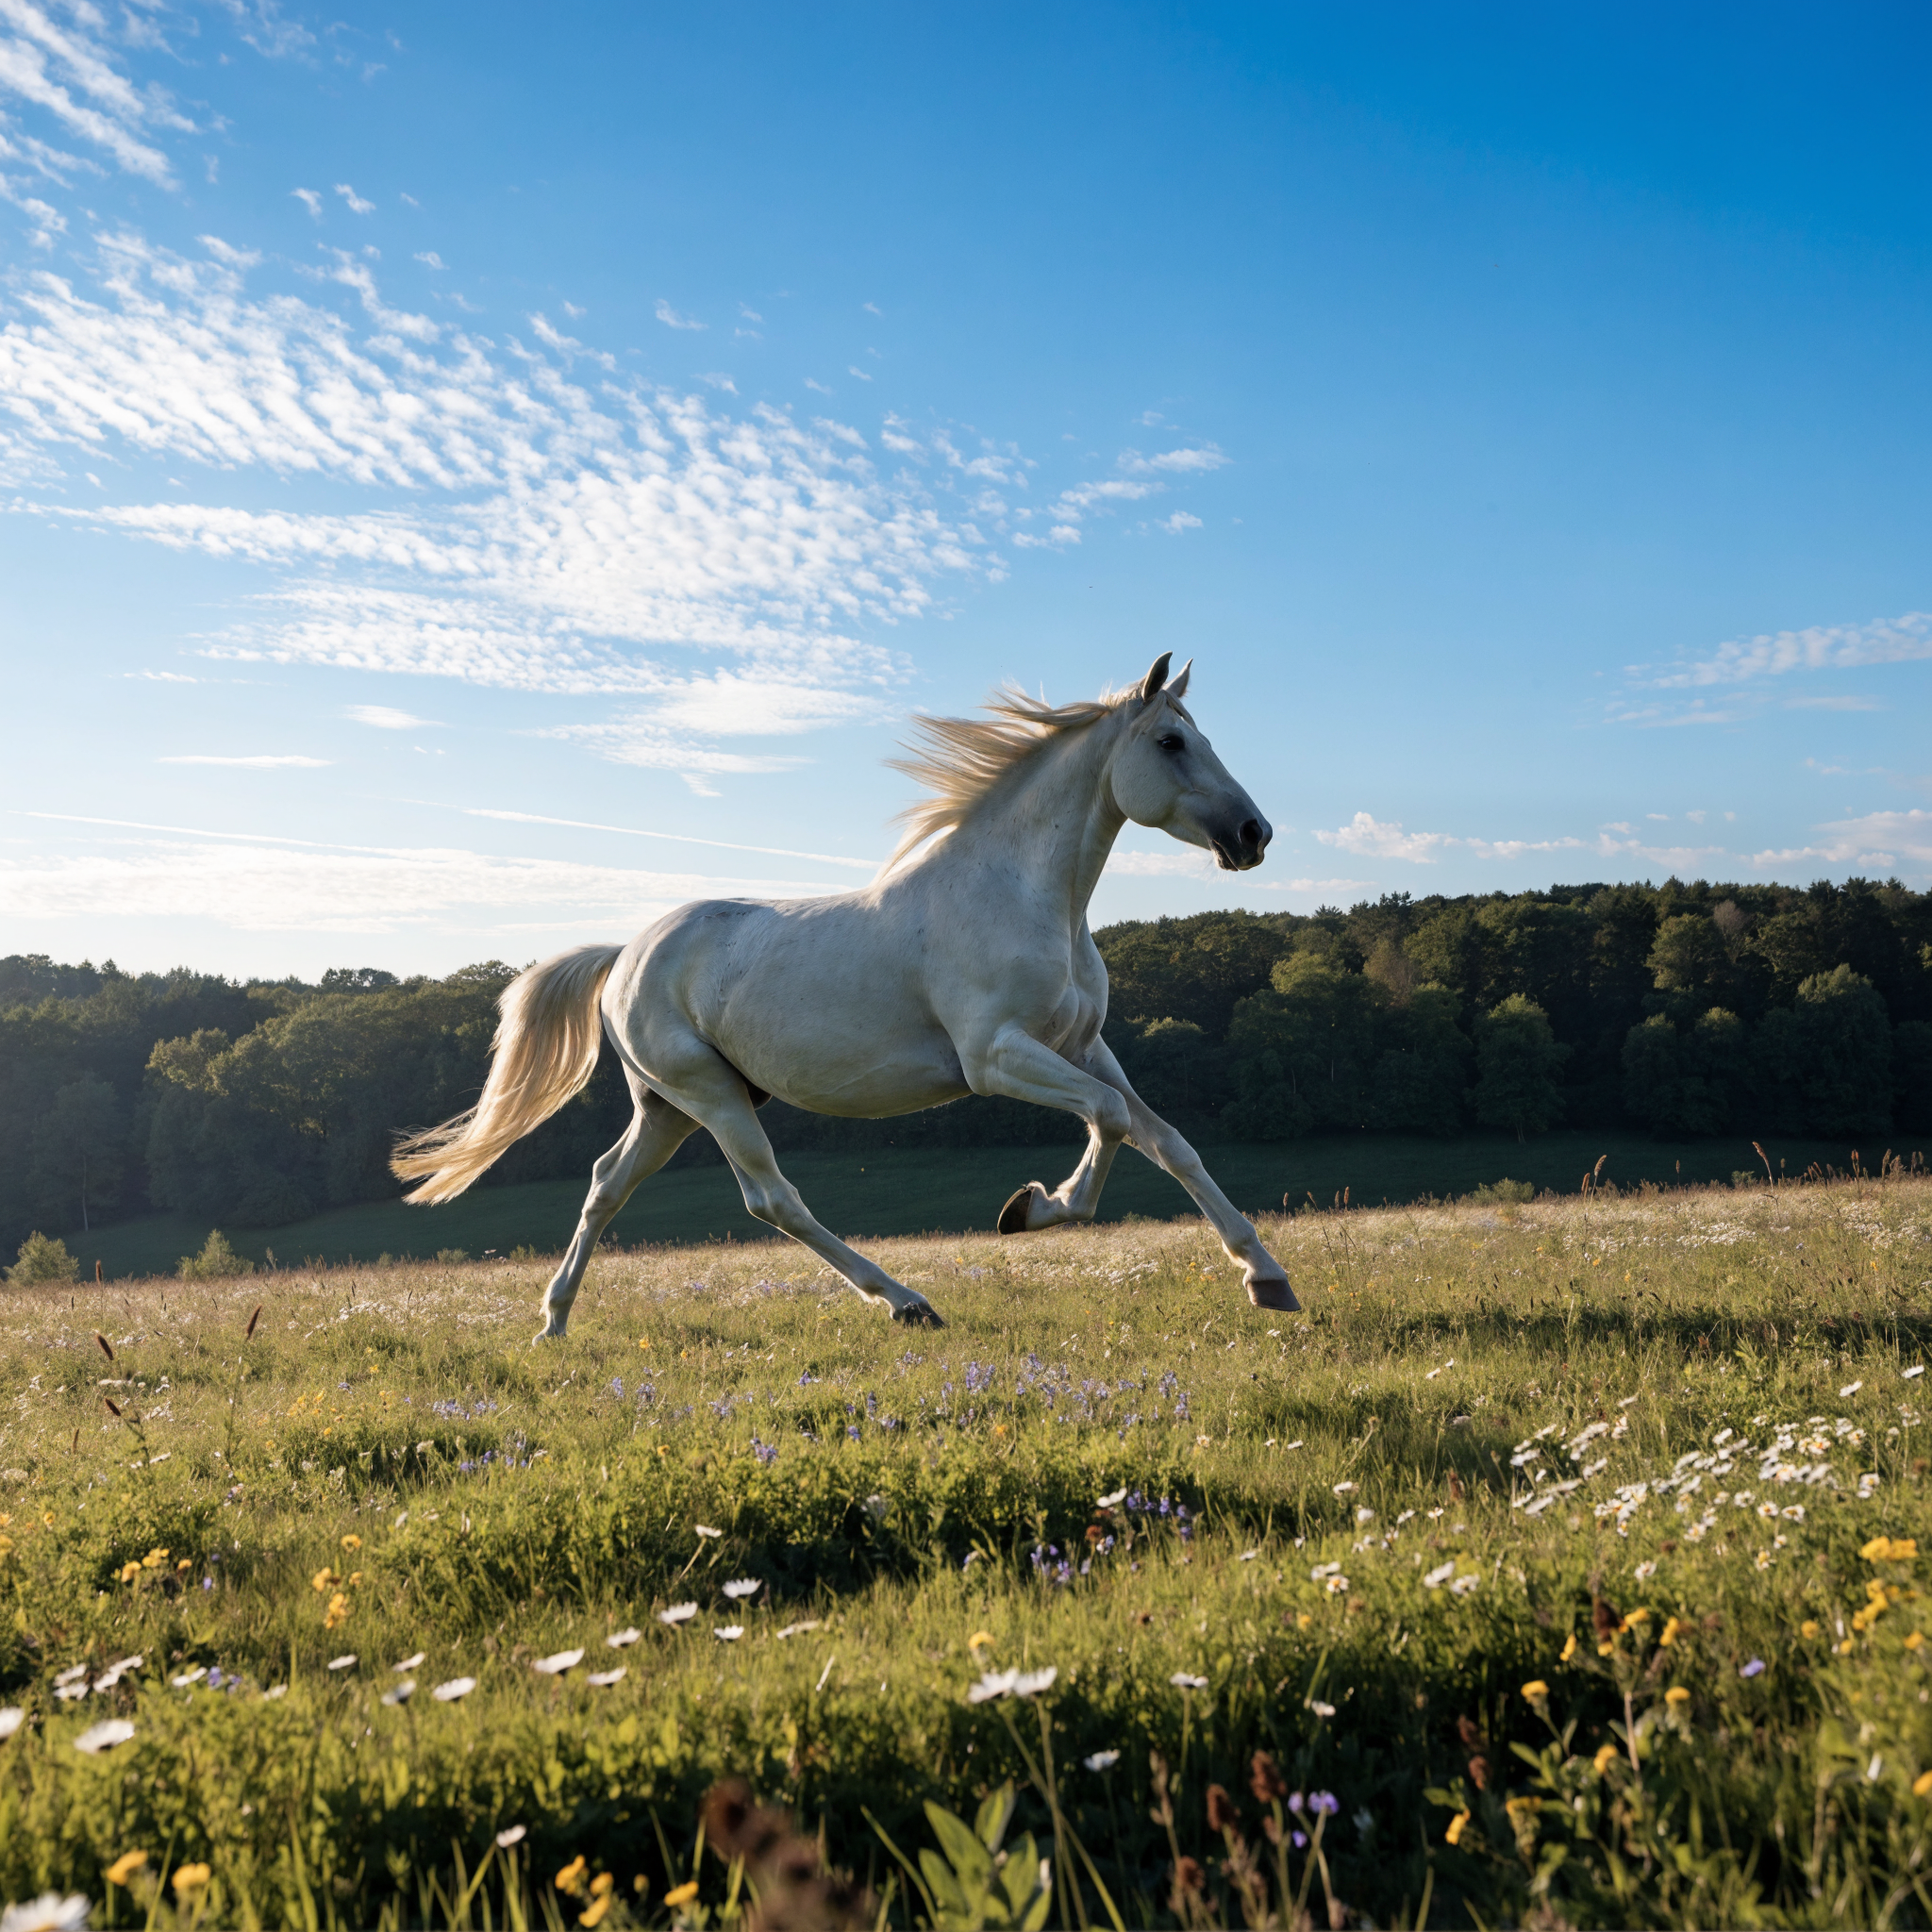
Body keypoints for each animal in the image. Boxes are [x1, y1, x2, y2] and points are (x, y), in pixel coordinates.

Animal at [393, 653, 1301, 1338]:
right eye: (1172, 741)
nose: (1253, 835)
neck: (1022, 894)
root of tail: (623, 958)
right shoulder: (996, 1058)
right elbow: (1110, 1123)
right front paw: (1034, 1208)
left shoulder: (1082, 1046)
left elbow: (1165, 1139)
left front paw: (1267, 1278)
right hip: (710, 1095)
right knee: (771, 1198)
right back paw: (906, 1302)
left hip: (667, 1108)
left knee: (605, 1184)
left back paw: (553, 1322)